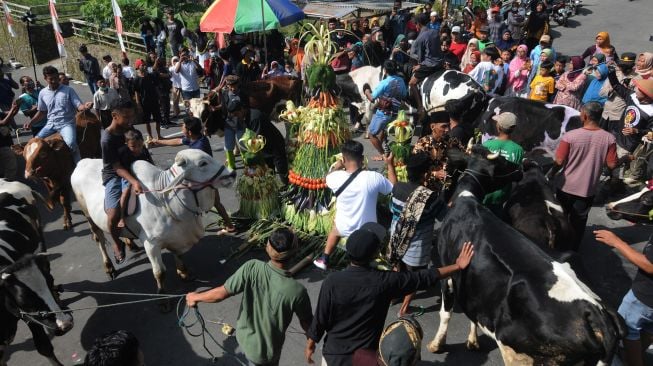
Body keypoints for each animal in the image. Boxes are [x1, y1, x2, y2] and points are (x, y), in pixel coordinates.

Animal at [71, 149, 233, 292]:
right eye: (202, 163)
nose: (232, 173)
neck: (167, 202)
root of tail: (81, 163)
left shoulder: (178, 237)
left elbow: (179, 255)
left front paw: (184, 273)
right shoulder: (151, 244)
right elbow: (159, 272)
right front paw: (162, 295)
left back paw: (129, 244)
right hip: (88, 215)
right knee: (99, 239)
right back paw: (109, 266)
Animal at [426, 147, 624, 364]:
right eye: (503, 163)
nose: (519, 170)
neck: (466, 199)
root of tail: (599, 317)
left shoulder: (447, 271)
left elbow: (445, 312)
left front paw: (437, 345)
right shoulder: (476, 289)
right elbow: (472, 314)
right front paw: (473, 342)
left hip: (521, 353)